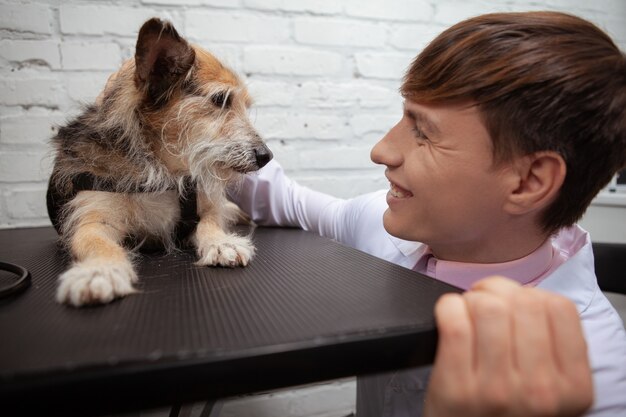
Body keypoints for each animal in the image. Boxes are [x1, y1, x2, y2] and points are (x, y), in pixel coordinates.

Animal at [46, 17, 270, 306]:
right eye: (221, 100)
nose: (267, 156)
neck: (163, 168)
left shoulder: (205, 207)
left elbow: (210, 222)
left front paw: (222, 242)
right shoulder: (93, 216)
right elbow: (97, 243)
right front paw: (100, 271)